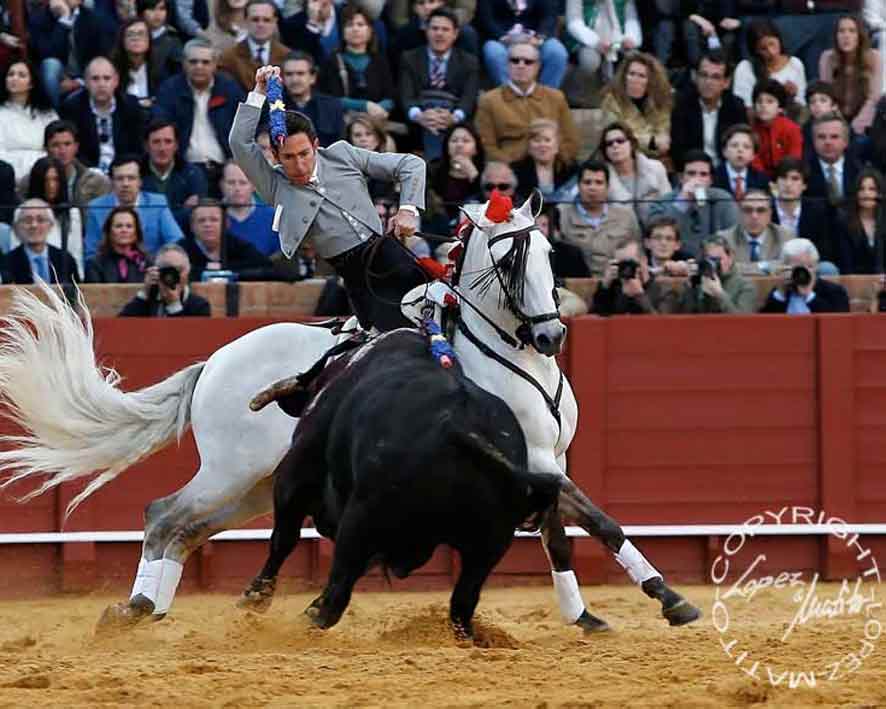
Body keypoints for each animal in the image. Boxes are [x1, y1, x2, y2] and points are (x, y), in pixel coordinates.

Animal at [251, 330, 560, 636]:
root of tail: (462, 427)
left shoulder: (297, 473)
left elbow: (284, 538)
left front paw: (255, 597)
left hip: (362, 514)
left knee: (337, 589)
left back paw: (310, 617)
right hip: (490, 545)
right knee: (462, 603)